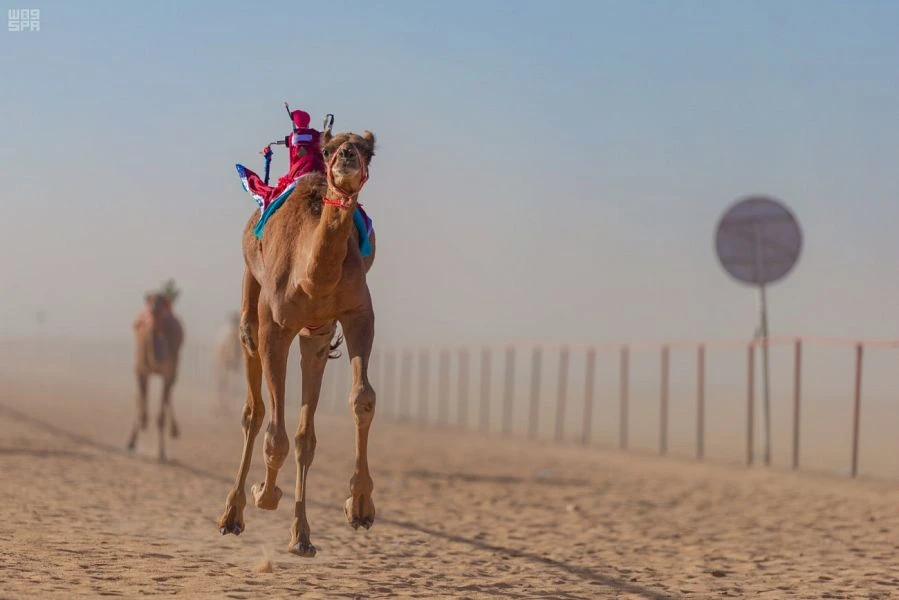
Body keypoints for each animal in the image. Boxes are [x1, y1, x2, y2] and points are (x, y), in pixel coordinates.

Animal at [128, 285, 185, 461]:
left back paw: (174, 430)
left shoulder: (168, 373)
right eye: (148, 300)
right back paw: (132, 439)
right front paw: (143, 422)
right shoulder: (140, 369)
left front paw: (162, 452)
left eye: (160, 301)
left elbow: (160, 416)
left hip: (174, 370)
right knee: (139, 397)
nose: (152, 310)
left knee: (168, 396)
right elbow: (141, 401)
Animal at [217, 126, 378, 557]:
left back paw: (302, 535)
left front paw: (360, 507)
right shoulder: (275, 327)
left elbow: (363, 400)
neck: (311, 277)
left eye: (369, 150)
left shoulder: (358, 314)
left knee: (306, 435)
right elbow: (274, 433)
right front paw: (264, 494)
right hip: (252, 307)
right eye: (330, 147)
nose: (347, 156)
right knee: (254, 411)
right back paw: (233, 514)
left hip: (315, 337)